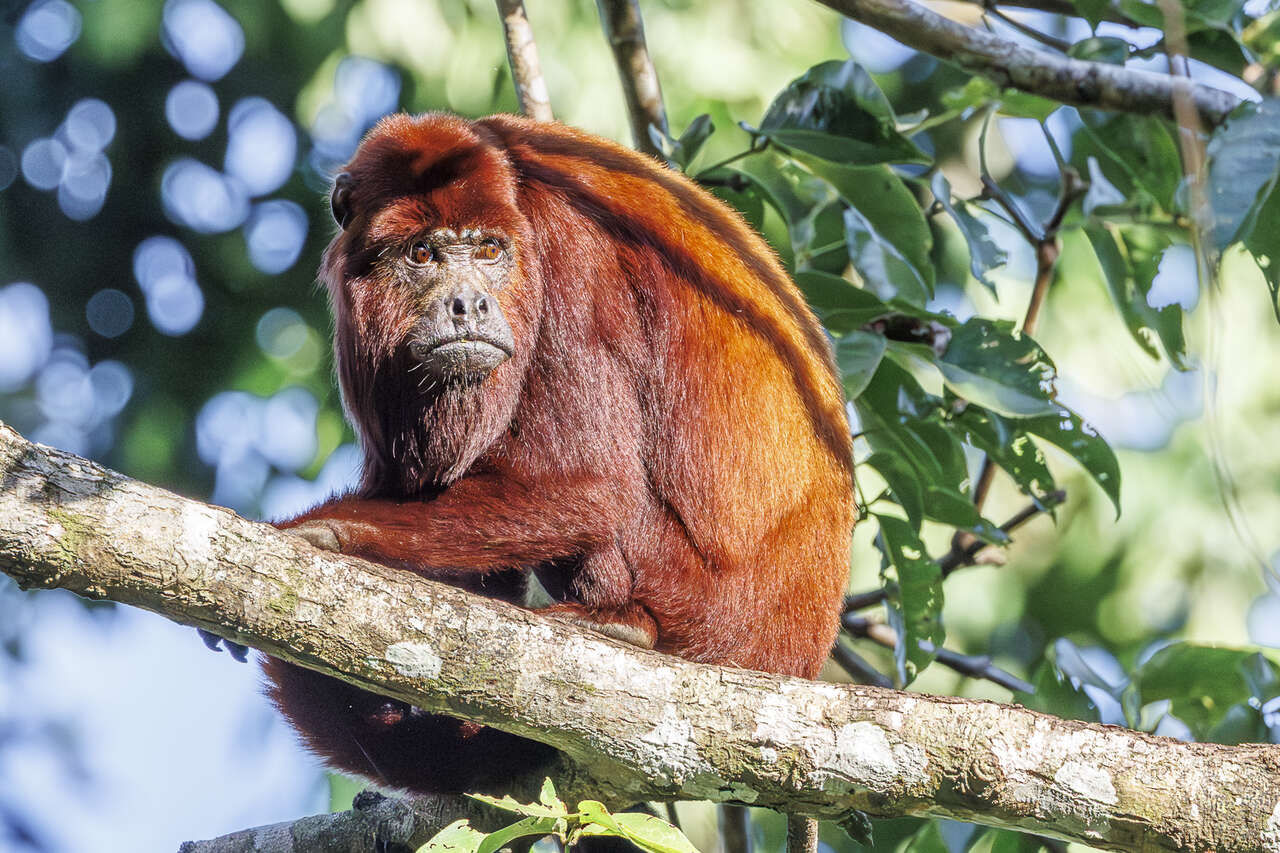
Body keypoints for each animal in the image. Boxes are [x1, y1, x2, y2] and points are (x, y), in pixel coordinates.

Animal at [260, 112, 855, 794]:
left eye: (490, 251)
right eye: (422, 253)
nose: (469, 304)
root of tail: (795, 654)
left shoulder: (568, 255)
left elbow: (589, 482)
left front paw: (326, 531)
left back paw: (623, 624)